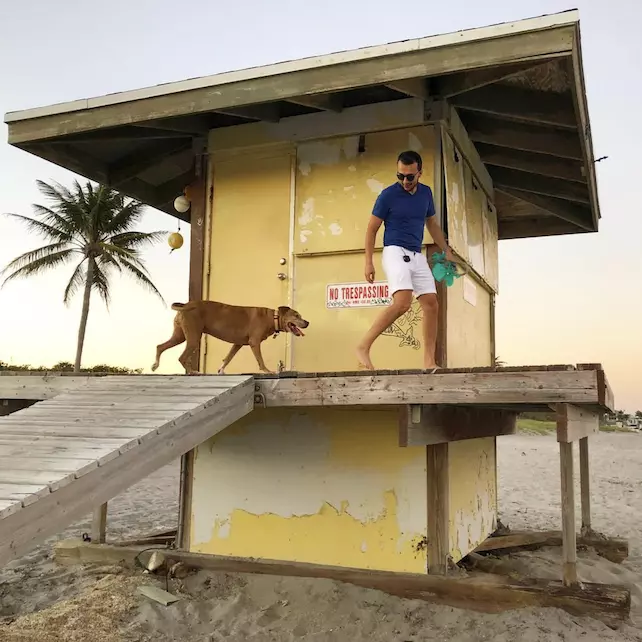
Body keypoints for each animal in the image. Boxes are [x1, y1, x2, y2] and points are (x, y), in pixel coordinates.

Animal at [151, 300, 308, 376]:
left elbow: (227, 358)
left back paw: (155, 365)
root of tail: (186, 305)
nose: (307, 322)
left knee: (160, 346)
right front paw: (268, 371)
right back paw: (192, 372)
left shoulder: (237, 344)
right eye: (296, 316)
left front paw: (221, 370)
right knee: (182, 357)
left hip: (180, 335)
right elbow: (261, 361)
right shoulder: (254, 342)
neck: (272, 318)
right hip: (193, 337)